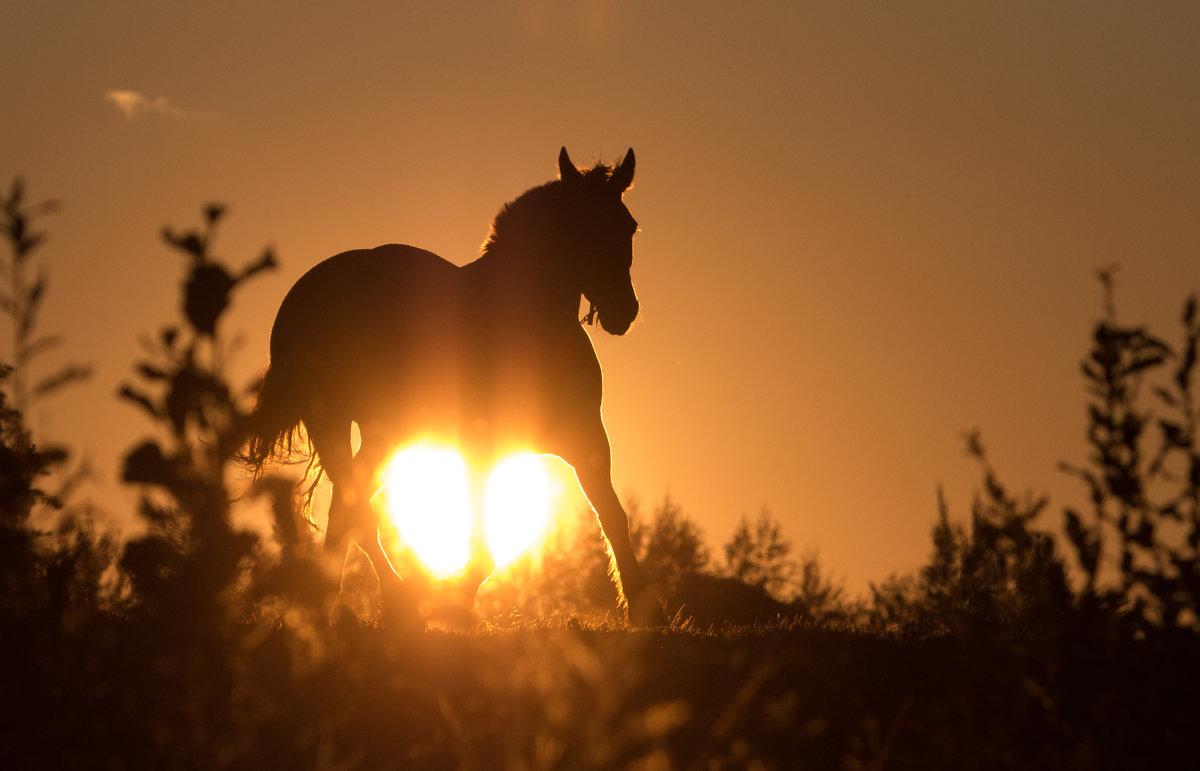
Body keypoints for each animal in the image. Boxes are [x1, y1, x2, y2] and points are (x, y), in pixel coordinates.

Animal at [242, 148, 667, 624]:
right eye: (582, 226)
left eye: (628, 226)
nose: (623, 310)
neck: (528, 323)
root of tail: (303, 291)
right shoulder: (479, 447)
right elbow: (483, 545)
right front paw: (448, 597)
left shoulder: (588, 441)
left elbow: (613, 516)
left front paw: (648, 610)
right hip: (331, 420)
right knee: (356, 509)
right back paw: (396, 599)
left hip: (387, 435)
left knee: (348, 504)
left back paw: (339, 599)